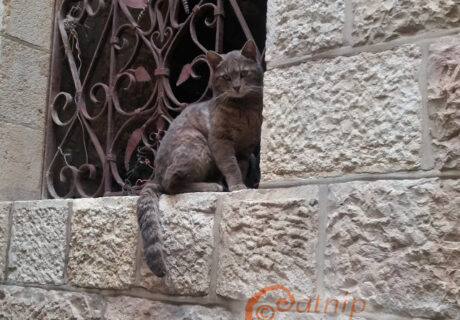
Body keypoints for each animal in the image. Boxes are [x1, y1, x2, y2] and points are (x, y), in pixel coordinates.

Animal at [137, 39, 262, 276]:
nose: (236, 86)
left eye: (244, 73)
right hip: (196, 144)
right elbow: (231, 166)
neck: (243, 110)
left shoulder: (245, 149)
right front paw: (236, 185)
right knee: (171, 185)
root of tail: (155, 176)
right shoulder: (220, 142)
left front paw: (241, 184)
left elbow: (240, 167)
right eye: (226, 77)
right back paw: (211, 186)